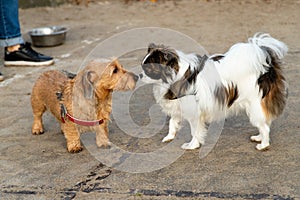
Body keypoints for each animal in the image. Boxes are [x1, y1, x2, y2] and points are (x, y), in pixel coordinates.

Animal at [141, 33, 288, 151]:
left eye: (148, 69)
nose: (139, 75)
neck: (177, 75)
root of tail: (267, 64)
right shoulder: (179, 106)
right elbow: (172, 122)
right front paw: (169, 137)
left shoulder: (194, 112)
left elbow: (195, 132)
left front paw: (192, 146)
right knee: (265, 122)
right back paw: (259, 137)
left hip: (254, 104)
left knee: (265, 126)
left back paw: (263, 145)